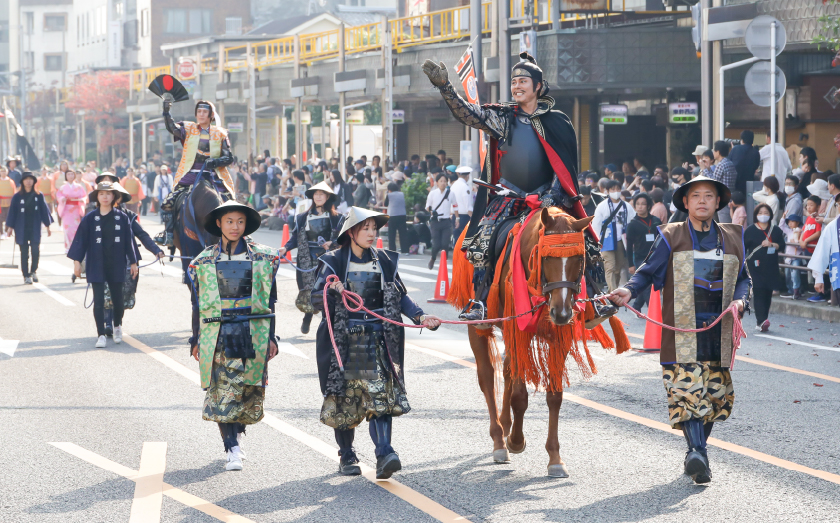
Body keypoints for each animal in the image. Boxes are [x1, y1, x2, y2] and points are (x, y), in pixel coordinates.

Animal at [456, 208, 620, 478]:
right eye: (546, 257)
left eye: (580, 258)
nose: (561, 313)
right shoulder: (517, 330)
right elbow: (519, 396)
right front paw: (515, 441)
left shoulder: (559, 337)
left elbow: (554, 396)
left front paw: (555, 458)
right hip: (478, 323)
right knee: (487, 376)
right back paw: (499, 440)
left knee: (508, 369)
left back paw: (506, 425)